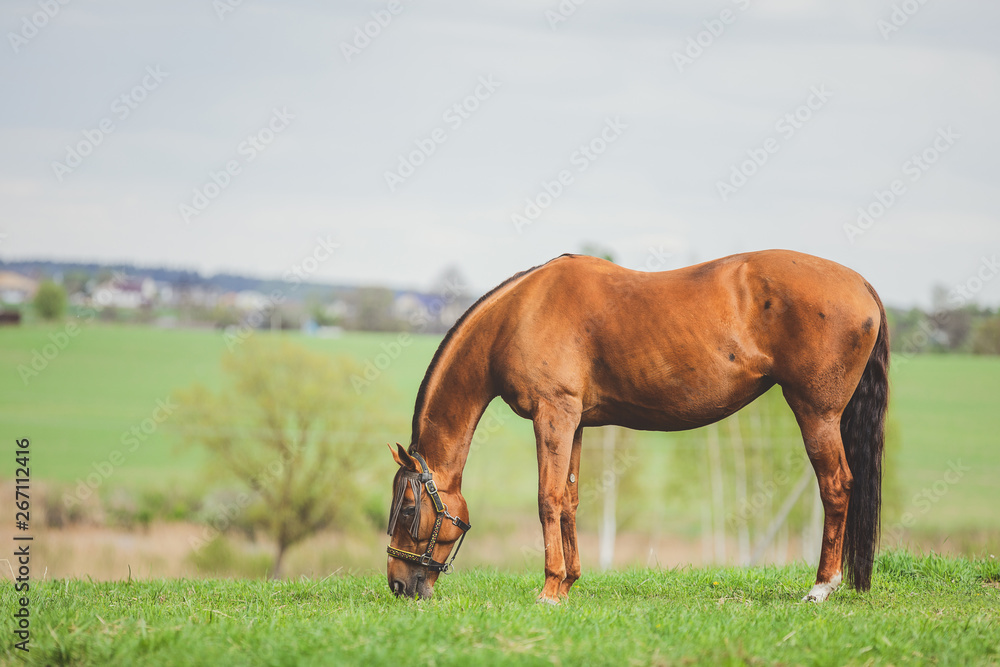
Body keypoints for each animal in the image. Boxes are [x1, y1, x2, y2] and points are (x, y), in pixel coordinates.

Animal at [386, 249, 888, 603]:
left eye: (408, 509)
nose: (397, 585)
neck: (520, 313)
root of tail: (860, 282)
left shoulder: (553, 416)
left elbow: (547, 499)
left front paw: (548, 590)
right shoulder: (574, 422)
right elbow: (568, 500)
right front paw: (568, 585)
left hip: (817, 415)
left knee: (836, 486)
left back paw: (822, 586)